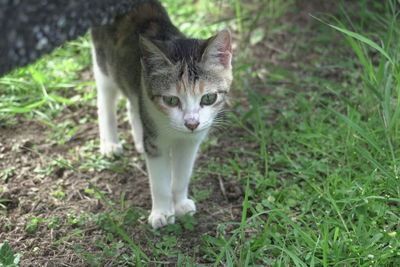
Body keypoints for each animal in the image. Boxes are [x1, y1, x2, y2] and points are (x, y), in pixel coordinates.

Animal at [90, 0, 233, 230]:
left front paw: (180, 204)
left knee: (132, 101)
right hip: (103, 63)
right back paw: (110, 144)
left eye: (209, 98)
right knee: (105, 99)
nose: (191, 123)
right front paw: (162, 212)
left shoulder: (190, 142)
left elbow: (182, 175)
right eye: (172, 100)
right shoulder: (156, 141)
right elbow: (160, 182)